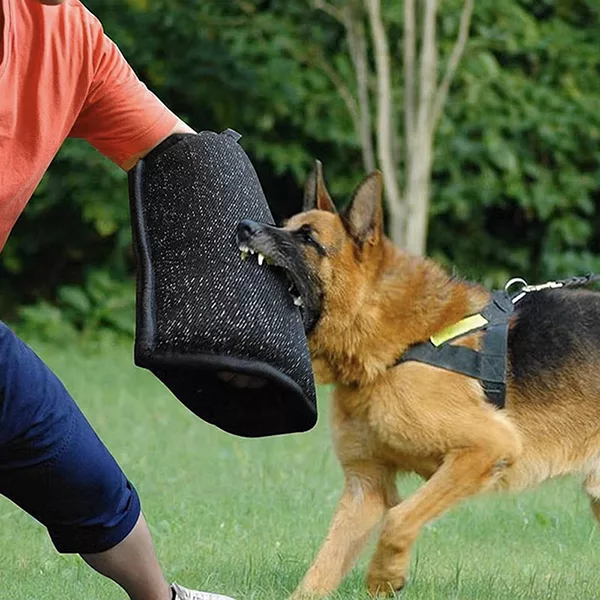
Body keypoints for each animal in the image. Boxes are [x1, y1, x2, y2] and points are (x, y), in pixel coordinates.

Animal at [236, 162, 600, 596]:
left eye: (308, 238)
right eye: (286, 225)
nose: (243, 226)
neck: (397, 346)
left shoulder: (487, 447)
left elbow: (399, 520)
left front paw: (384, 576)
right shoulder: (366, 488)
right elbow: (321, 569)